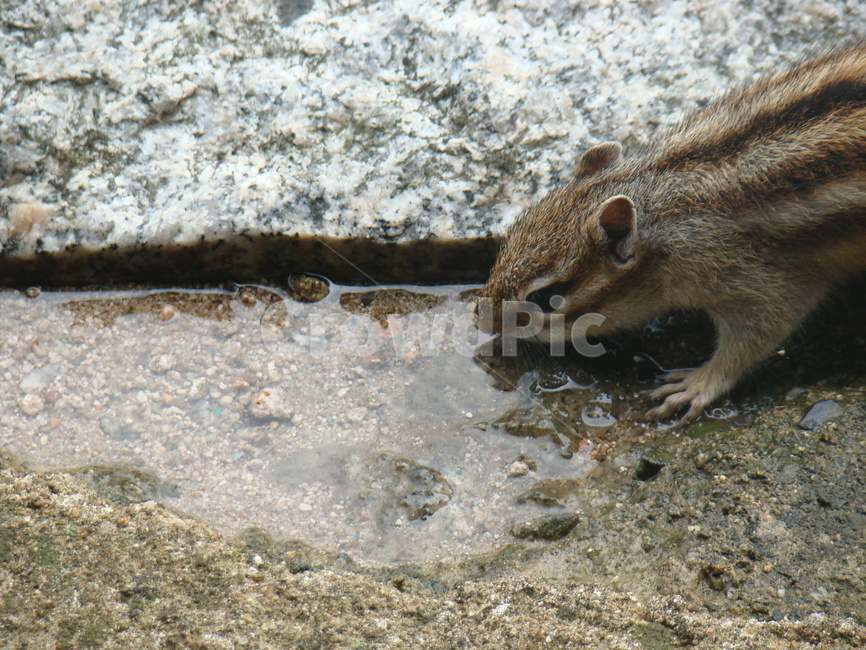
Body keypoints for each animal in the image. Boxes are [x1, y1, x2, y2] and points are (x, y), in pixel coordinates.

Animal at [481, 44, 866, 422]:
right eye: (509, 238)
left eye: (544, 298)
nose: (481, 319)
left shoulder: (759, 279)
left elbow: (761, 331)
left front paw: (700, 383)